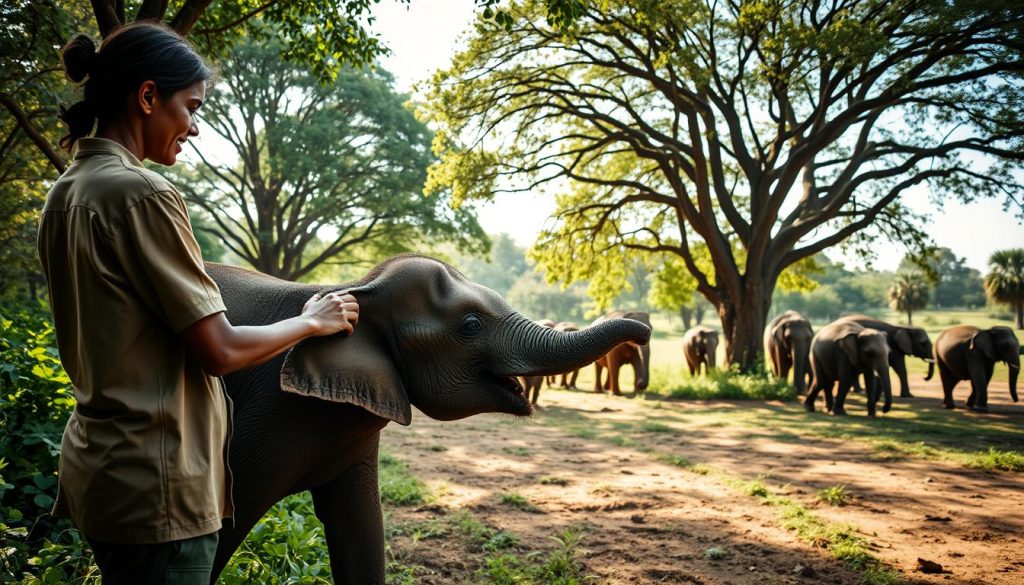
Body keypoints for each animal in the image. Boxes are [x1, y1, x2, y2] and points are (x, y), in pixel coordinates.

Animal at [205, 255, 651, 582]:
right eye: (470, 325)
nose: (644, 332)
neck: (357, 286)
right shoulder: (264, 413)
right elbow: (226, 526)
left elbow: (360, 523)